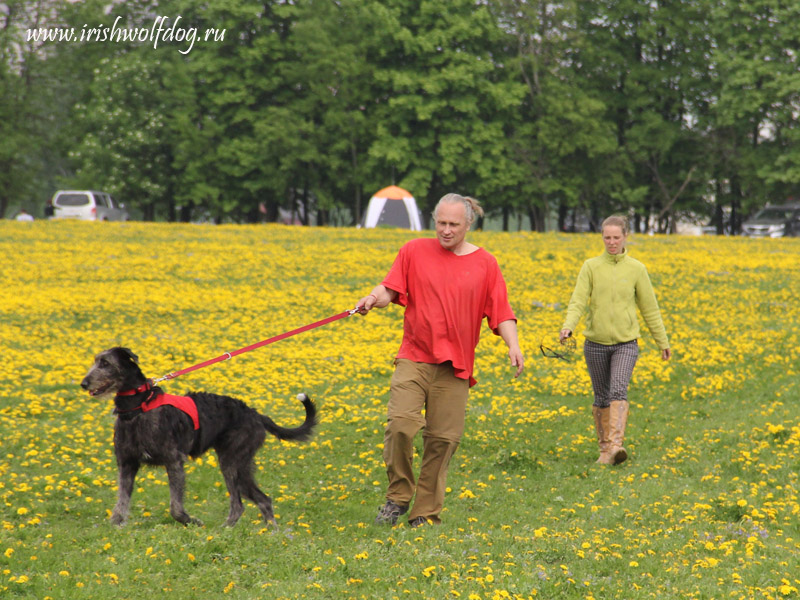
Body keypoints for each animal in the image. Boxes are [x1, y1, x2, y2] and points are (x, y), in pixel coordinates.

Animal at [81, 346, 318, 524]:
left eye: (105, 363)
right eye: (96, 361)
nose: (83, 383)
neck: (138, 406)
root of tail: (255, 414)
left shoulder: (174, 461)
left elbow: (175, 508)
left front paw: (191, 521)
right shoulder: (127, 464)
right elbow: (120, 505)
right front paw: (115, 528)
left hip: (233, 462)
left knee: (244, 503)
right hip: (238, 466)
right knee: (258, 501)